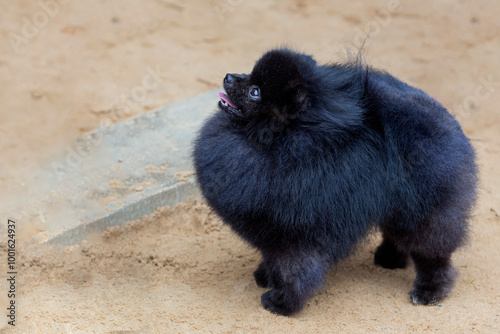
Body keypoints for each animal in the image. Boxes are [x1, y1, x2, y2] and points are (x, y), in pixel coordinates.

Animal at [191, 47, 476, 316]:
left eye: (254, 92)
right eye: (249, 74)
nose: (228, 77)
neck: (283, 143)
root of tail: (441, 116)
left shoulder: (298, 235)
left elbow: (294, 272)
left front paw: (283, 303)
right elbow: (271, 259)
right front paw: (265, 275)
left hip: (426, 213)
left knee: (432, 255)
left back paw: (430, 291)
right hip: (399, 207)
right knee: (395, 233)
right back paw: (389, 258)